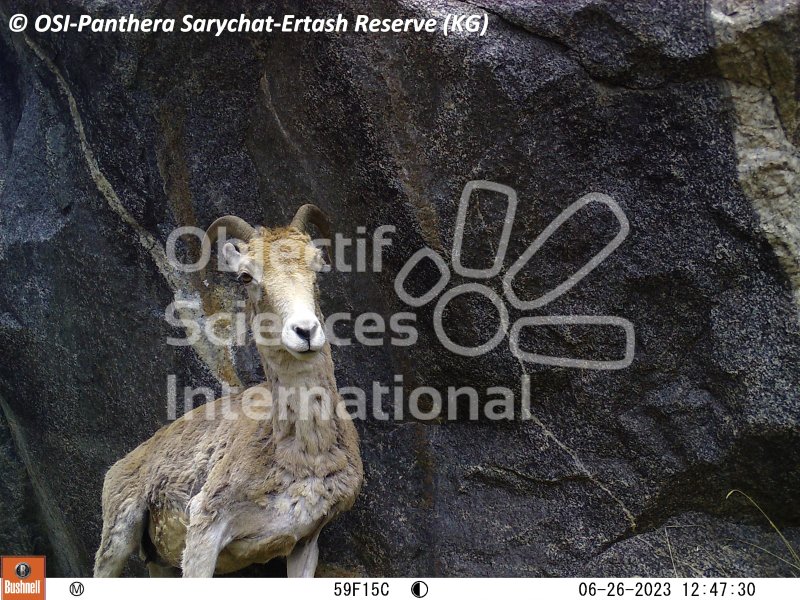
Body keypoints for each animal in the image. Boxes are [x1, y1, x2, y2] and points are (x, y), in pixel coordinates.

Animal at [94, 206, 366, 576]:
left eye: (316, 265)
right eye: (246, 277)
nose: (305, 331)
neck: (305, 455)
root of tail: (121, 465)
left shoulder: (306, 542)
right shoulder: (205, 529)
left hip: (160, 565)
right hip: (117, 539)